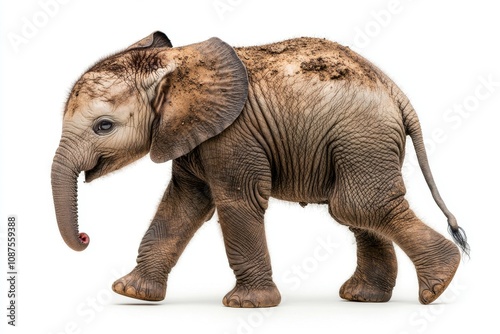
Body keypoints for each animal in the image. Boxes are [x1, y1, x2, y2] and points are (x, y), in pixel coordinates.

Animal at [51, 31, 468, 308]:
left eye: (104, 126)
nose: (86, 238)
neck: (178, 60)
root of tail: (399, 95)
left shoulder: (234, 134)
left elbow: (236, 202)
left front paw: (246, 305)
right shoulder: (193, 134)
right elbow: (182, 204)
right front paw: (130, 293)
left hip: (363, 138)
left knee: (357, 206)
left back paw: (439, 284)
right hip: (362, 144)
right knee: (356, 211)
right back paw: (365, 297)